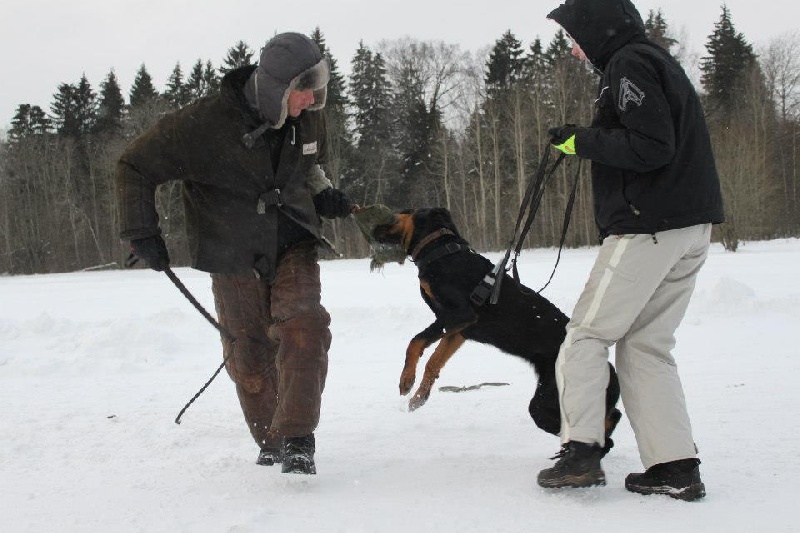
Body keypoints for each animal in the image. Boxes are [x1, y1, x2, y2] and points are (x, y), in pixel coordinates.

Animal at [372, 207, 620, 444]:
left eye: (398, 214)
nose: (373, 227)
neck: (441, 252)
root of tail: (609, 369)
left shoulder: (459, 314)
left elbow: (419, 343)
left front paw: (407, 381)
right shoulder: (459, 331)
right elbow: (431, 358)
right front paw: (417, 395)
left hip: (546, 403)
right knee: (611, 417)